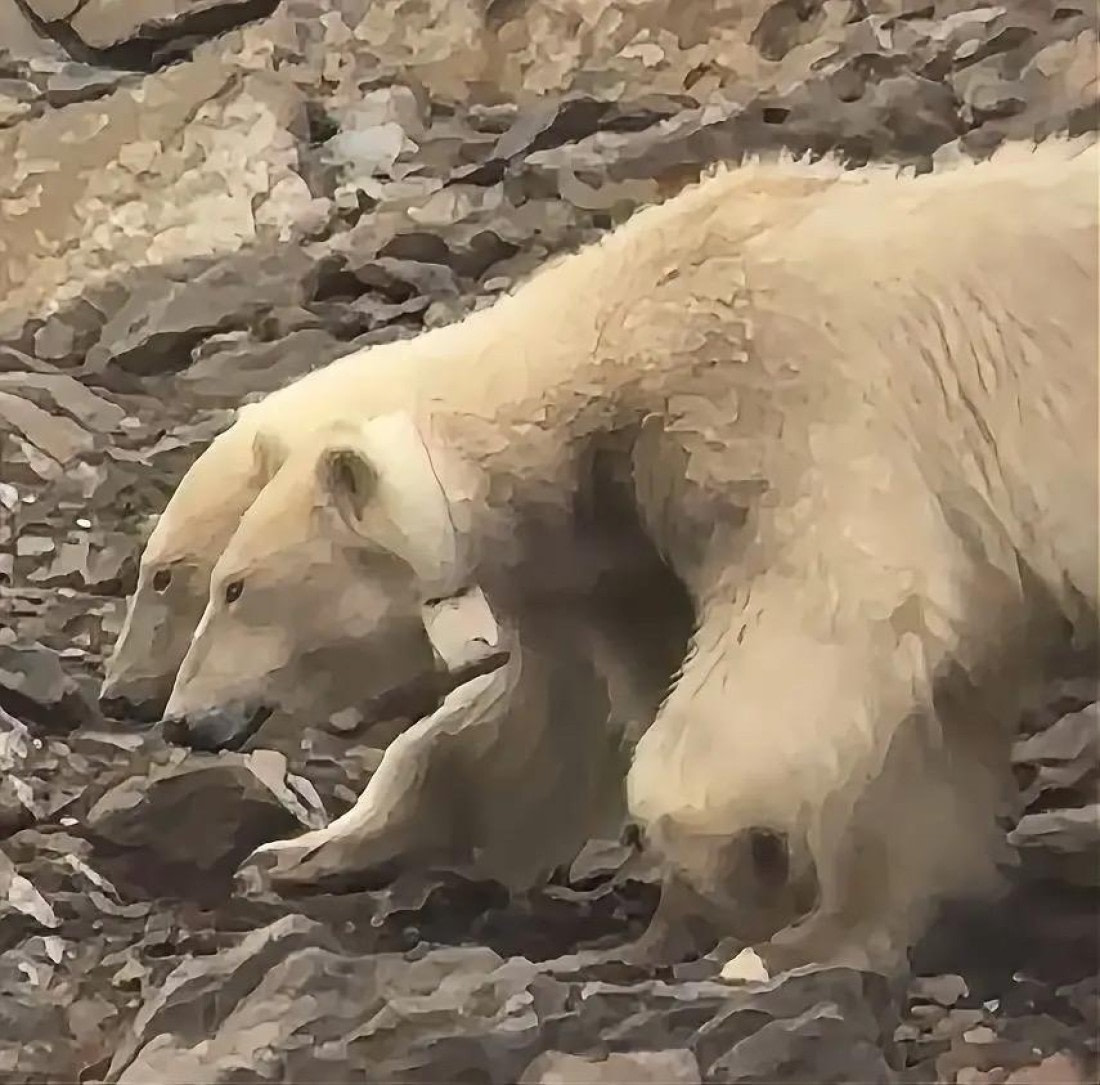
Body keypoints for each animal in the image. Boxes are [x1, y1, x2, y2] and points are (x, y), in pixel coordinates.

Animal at [161, 135, 1099, 976]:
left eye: (232, 586)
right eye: (204, 582)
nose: (178, 717)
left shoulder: (789, 401)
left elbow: (834, 612)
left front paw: (760, 900)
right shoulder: (617, 554)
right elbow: (539, 726)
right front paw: (305, 851)